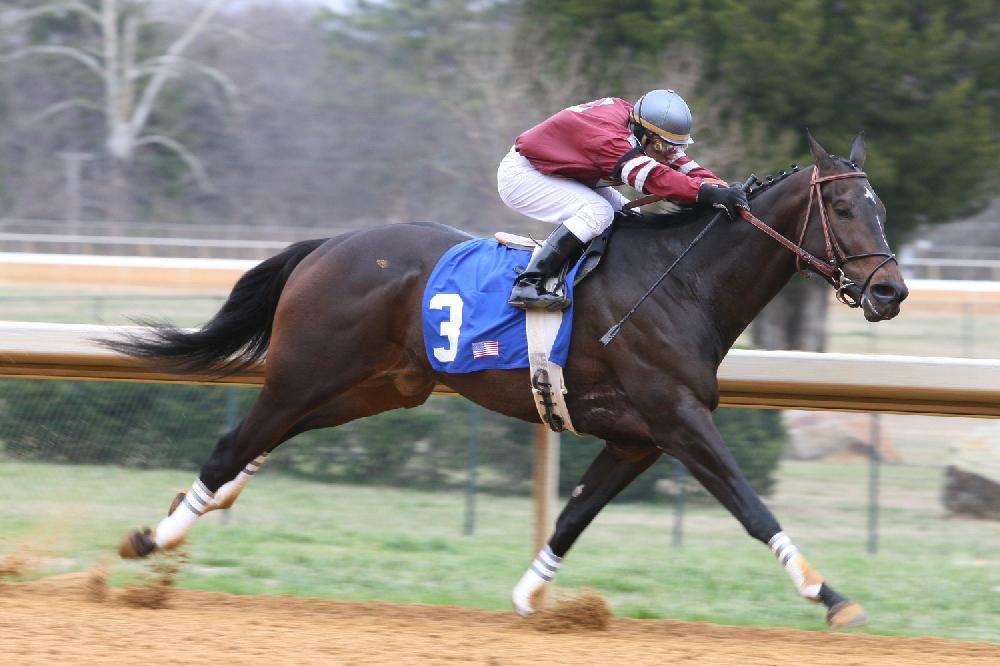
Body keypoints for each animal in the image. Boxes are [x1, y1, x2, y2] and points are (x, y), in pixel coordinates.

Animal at [109, 131, 907, 628]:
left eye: (881, 208)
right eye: (842, 207)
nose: (891, 291)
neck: (681, 283)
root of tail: (329, 245)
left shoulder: (637, 437)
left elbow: (573, 516)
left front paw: (529, 599)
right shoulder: (678, 419)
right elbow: (750, 506)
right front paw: (829, 593)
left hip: (376, 385)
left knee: (264, 440)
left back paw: (197, 511)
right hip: (308, 372)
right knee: (234, 443)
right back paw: (157, 535)